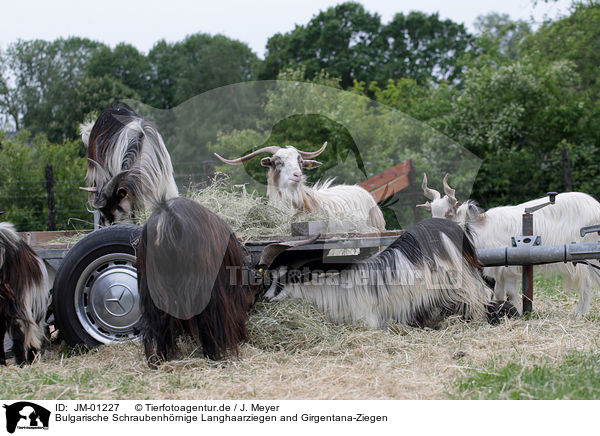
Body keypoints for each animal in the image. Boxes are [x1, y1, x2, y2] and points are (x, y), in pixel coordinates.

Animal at [137, 197, 255, 364]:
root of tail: (167, 219)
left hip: (153, 290)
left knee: (157, 324)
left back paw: (160, 358)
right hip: (203, 290)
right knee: (206, 321)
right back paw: (213, 357)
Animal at [420, 174, 600, 316]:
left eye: (449, 212)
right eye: (432, 212)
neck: (480, 229)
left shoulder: (505, 268)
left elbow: (505, 293)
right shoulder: (505, 271)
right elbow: (506, 293)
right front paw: (515, 312)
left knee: (586, 284)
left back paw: (580, 314)